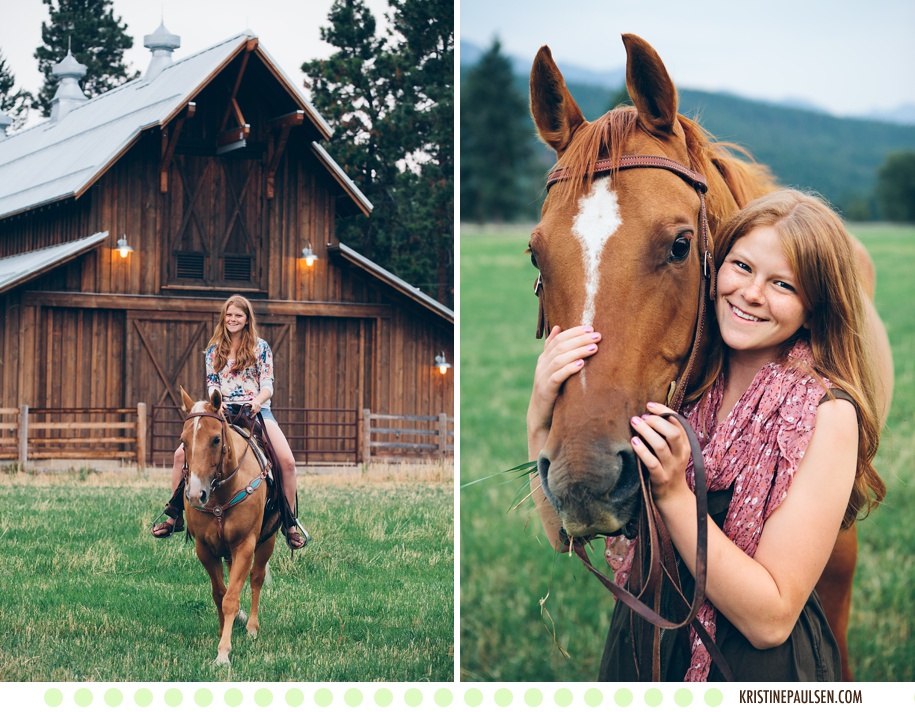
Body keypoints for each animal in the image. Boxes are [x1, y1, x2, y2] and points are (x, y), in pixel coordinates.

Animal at [178, 386, 280, 664]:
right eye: (183, 441)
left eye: (215, 439)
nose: (195, 495)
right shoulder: (205, 549)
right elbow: (219, 594)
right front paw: (223, 631)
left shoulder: (245, 545)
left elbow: (231, 597)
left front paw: (223, 653)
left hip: (267, 541)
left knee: (256, 578)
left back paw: (252, 627)